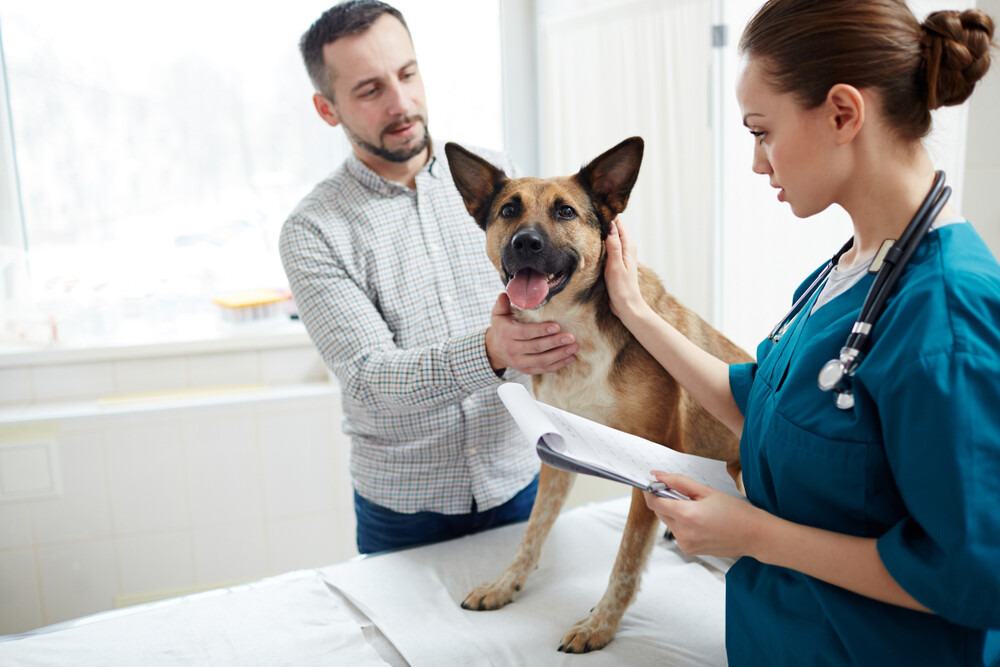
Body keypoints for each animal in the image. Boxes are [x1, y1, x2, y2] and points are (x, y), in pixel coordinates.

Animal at [446, 138, 752, 656]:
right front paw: (505, 586)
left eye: (565, 211)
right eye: (508, 210)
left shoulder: (651, 467)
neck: (575, 328)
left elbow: (626, 561)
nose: (525, 243)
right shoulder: (557, 453)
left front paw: (600, 626)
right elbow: (532, 532)